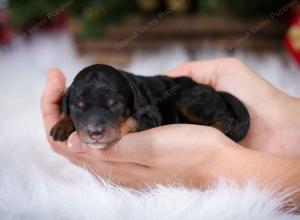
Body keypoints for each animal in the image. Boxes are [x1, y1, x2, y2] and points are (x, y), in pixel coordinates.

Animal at [50, 64, 250, 149]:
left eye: (116, 104)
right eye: (79, 106)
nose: (95, 132)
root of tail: (217, 92)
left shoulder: (150, 118)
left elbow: (133, 121)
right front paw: (61, 125)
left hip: (188, 100)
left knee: (225, 117)